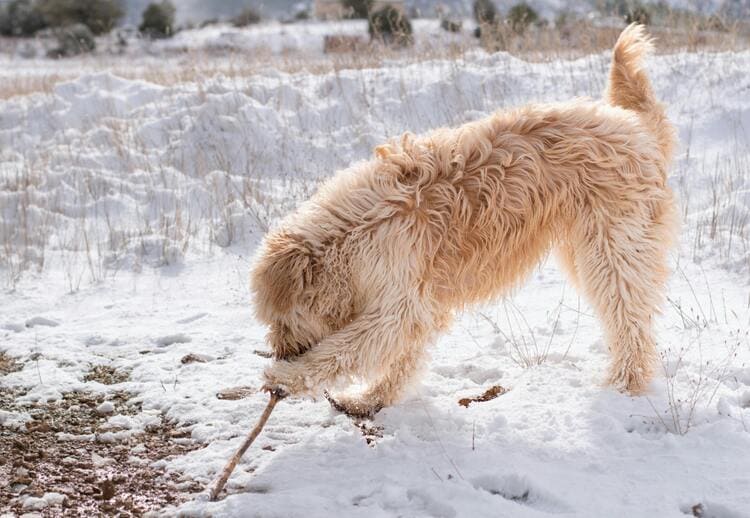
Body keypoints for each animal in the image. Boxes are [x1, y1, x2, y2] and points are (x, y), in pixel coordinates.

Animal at [251, 24, 680, 420]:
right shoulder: (418, 305)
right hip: (585, 249)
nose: (281, 351)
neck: (353, 232)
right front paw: (370, 399)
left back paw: (624, 384)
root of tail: (638, 129)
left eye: (282, 319)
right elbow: (402, 359)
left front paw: (286, 377)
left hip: (613, 250)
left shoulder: (397, 306)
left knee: (630, 320)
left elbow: (345, 349)